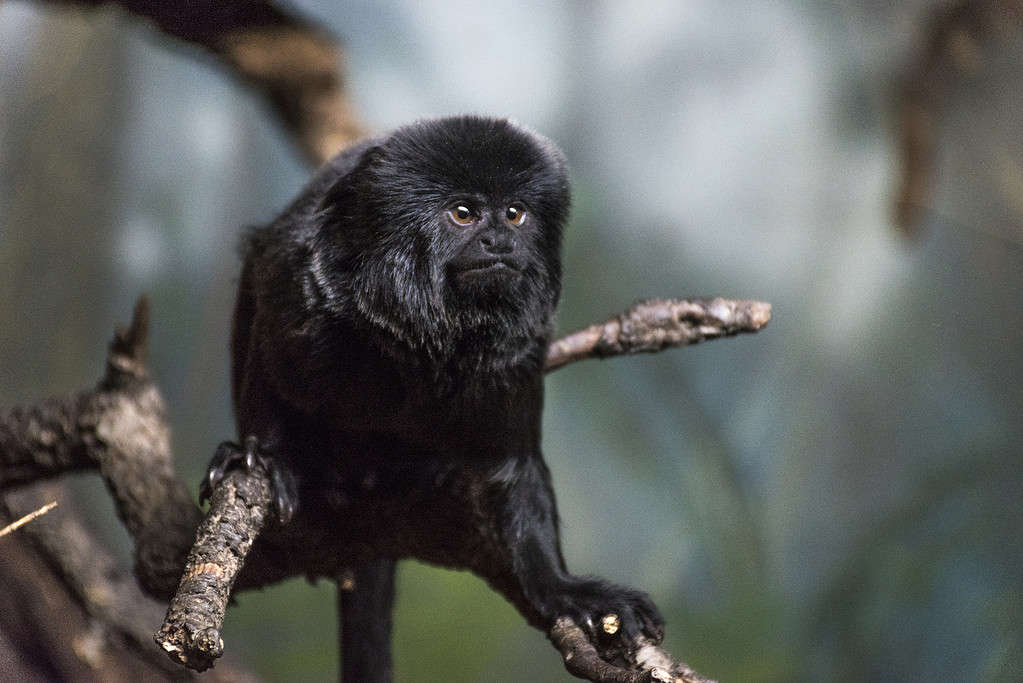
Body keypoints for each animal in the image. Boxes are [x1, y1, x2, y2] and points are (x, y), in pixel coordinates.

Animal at [200, 115, 663, 680]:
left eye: (515, 213)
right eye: (463, 214)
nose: (499, 241)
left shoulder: (520, 350)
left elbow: (515, 466)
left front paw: (565, 589)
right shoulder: (298, 288)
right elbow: (270, 363)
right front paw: (263, 457)